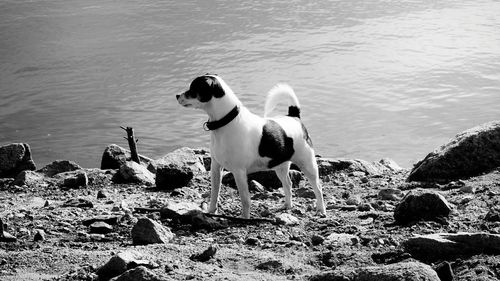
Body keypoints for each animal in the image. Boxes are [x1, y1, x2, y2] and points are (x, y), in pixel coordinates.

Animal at [178, 73, 326, 218]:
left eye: (193, 89)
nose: (177, 95)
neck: (226, 122)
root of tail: (294, 117)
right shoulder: (216, 167)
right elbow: (214, 193)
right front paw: (211, 212)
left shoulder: (239, 172)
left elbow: (245, 199)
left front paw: (244, 219)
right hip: (281, 166)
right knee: (288, 184)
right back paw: (287, 205)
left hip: (307, 165)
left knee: (318, 188)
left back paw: (321, 210)